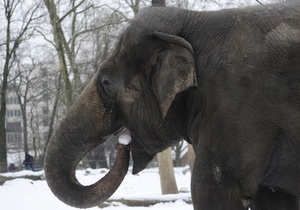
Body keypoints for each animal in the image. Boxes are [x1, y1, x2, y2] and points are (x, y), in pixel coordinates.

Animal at [44, 1, 300, 210]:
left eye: (106, 83)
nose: (122, 143)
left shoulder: (238, 102)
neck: (193, 20)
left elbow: (211, 189)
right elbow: (273, 198)